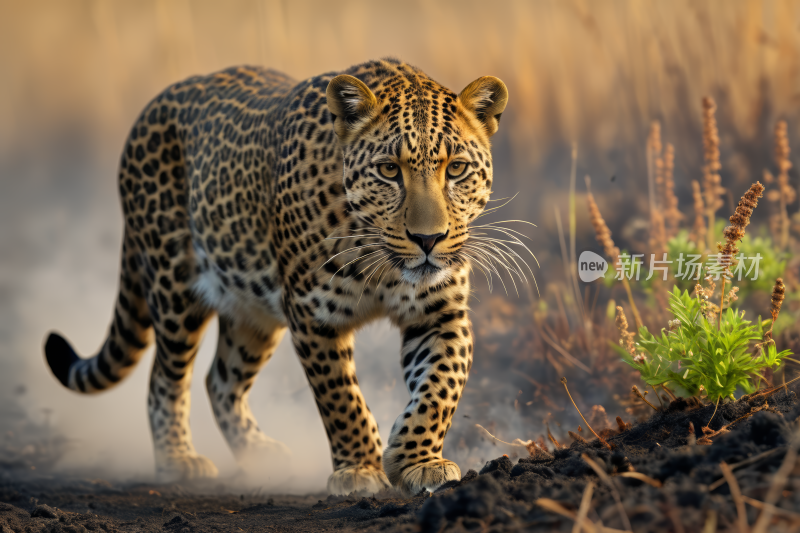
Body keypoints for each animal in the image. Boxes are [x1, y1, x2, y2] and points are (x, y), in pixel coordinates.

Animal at [43, 58, 510, 494]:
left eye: (457, 170)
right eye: (389, 170)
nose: (428, 239)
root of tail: (150, 109)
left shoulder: (440, 313)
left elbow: (441, 387)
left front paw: (417, 460)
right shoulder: (312, 314)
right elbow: (341, 398)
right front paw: (359, 468)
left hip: (253, 312)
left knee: (220, 380)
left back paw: (259, 455)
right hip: (173, 288)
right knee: (166, 377)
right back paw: (179, 460)